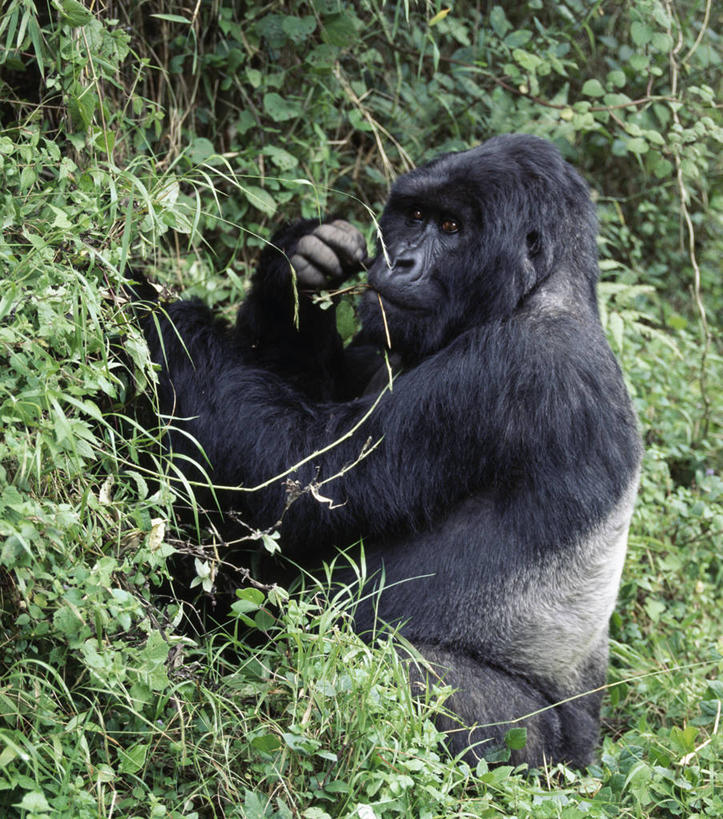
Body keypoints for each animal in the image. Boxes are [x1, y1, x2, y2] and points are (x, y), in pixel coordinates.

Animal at [144, 133, 640, 768]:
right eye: (416, 215)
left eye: (452, 226)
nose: (399, 260)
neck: (543, 287)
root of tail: (589, 756)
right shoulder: (378, 339)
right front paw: (298, 264)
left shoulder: (511, 367)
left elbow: (297, 477)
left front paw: (155, 311)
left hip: (539, 758)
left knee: (380, 667)